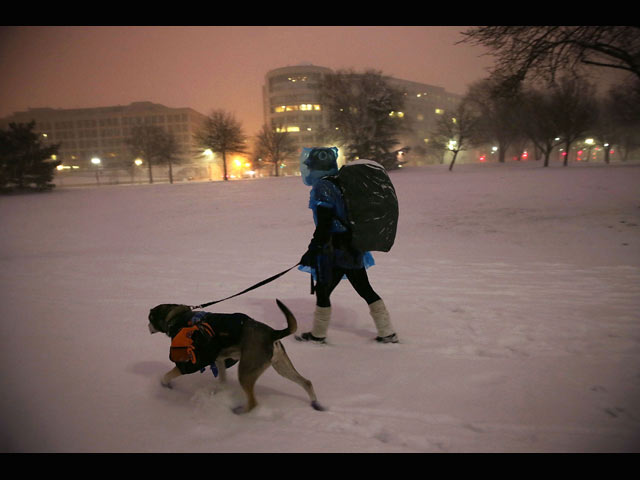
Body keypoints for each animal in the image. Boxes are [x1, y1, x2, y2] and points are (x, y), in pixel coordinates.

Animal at [149, 298, 324, 414]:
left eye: (150, 318)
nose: (148, 326)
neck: (177, 318)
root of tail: (272, 333)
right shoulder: (219, 359)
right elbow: (222, 380)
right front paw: (217, 391)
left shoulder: (194, 361)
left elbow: (168, 375)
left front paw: (165, 384)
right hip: (281, 366)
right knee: (306, 382)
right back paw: (316, 404)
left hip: (246, 372)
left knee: (253, 403)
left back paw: (240, 412)